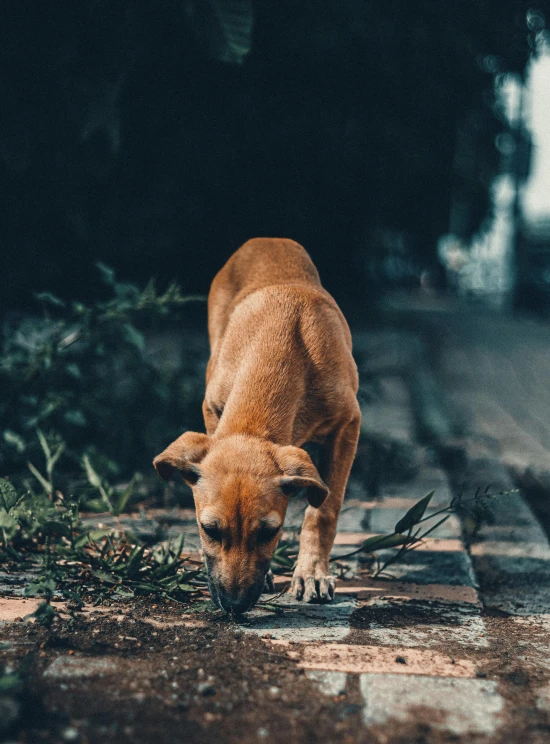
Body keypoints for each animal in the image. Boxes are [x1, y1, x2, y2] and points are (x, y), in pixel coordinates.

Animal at [155, 237, 362, 612]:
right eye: (209, 530)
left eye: (269, 532)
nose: (234, 606)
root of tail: (267, 239)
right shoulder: (212, 407)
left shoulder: (348, 424)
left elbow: (323, 510)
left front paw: (312, 572)